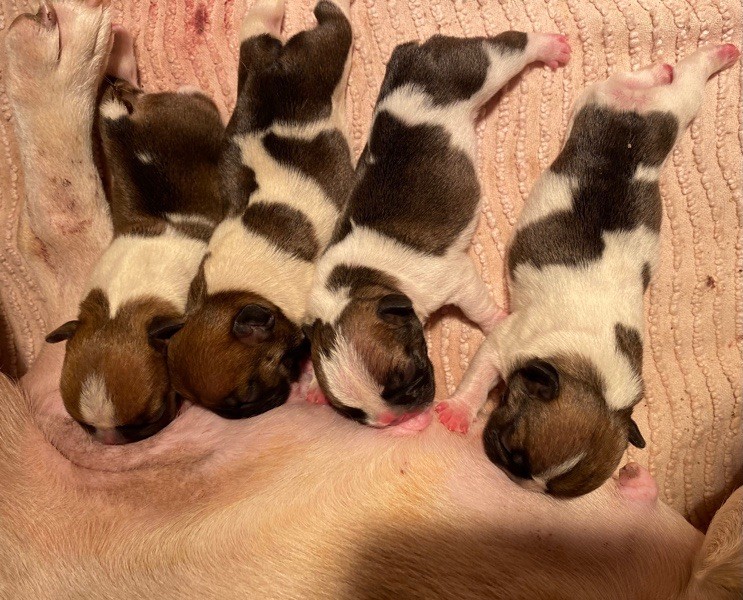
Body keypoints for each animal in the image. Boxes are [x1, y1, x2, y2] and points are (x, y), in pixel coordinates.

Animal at [45, 31, 225, 446]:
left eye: (152, 416)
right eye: (84, 426)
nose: (112, 443)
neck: (120, 310)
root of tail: (121, 122)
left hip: (197, 117)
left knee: (191, 96)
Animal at [169, 0, 354, 420]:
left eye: (249, 392)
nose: (242, 417)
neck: (235, 290)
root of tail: (275, 67)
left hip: (322, 56)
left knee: (335, 24)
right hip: (256, 62)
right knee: (257, 31)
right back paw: (270, 12)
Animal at [306, 32, 572, 428]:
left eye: (408, 378)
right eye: (357, 416)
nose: (397, 420)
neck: (360, 283)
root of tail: (416, 51)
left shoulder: (455, 279)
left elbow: (478, 308)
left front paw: (496, 321)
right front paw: (311, 385)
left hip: (478, 67)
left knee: (510, 45)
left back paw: (549, 47)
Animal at [436, 44, 743, 496]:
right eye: (512, 451)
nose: (518, 483)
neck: (594, 380)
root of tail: (634, 118)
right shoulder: (503, 343)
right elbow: (479, 376)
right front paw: (458, 411)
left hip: (666, 106)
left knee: (673, 77)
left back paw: (693, 61)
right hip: (618, 101)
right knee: (639, 79)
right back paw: (678, 65)